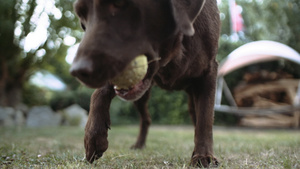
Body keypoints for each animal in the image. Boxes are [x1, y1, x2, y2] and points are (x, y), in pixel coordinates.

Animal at [70, 0, 220, 167]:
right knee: (146, 119)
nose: (78, 70)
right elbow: (99, 93)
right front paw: (93, 136)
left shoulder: (209, 71)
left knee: (196, 117)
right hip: (141, 98)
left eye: (119, 3)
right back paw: (139, 144)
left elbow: (205, 119)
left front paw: (203, 155)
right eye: (82, 16)